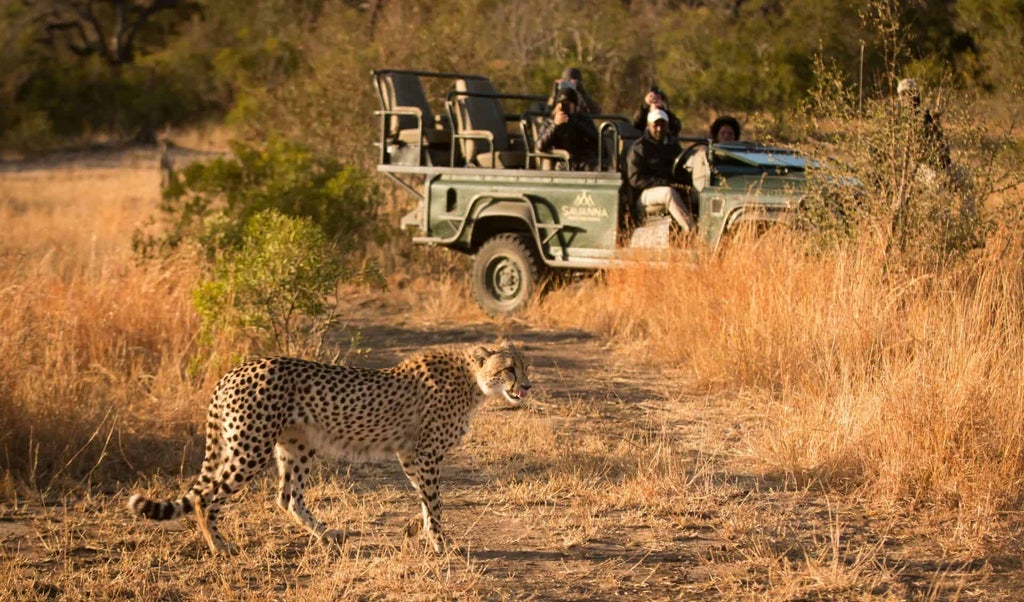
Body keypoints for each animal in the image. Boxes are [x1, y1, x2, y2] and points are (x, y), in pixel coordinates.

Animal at [128, 337, 532, 556]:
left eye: (526, 367)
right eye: (509, 369)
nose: (527, 386)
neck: (473, 380)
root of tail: (233, 371)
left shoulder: (410, 454)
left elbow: (424, 500)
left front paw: (425, 535)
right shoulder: (426, 454)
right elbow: (434, 502)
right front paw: (441, 544)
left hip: (296, 444)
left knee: (287, 498)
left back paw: (327, 534)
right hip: (251, 446)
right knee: (205, 496)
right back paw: (218, 546)